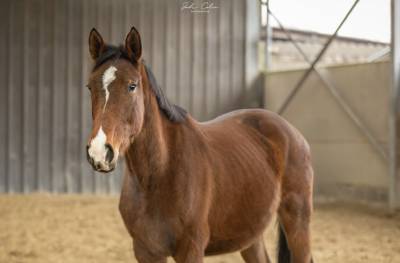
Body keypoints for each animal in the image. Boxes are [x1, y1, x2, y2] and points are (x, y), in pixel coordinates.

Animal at [86, 27, 314, 263]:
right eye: (90, 87)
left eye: (132, 86)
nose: (99, 152)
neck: (160, 174)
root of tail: (293, 133)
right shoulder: (146, 251)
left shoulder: (191, 250)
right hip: (251, 235)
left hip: (297, 224)